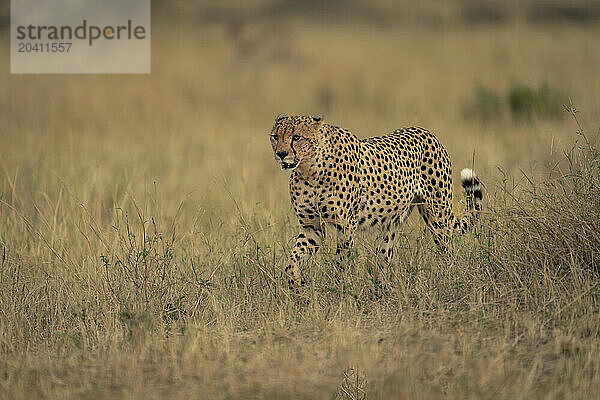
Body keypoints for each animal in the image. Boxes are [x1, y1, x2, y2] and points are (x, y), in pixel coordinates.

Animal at [268, 114, 482, 290]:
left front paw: (339, 292)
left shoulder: (346, 226)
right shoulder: (312, 226)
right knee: (384, 258)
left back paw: (448, 280)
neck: (309, 169)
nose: (281, 154)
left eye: (296, 137)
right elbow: (292, 262)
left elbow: (341, 263)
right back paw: (382, 289)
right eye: (275, 137)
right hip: (391, 225)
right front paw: (296, 285)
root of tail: (425, 131)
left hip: (438, 216)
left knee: (447, 251)